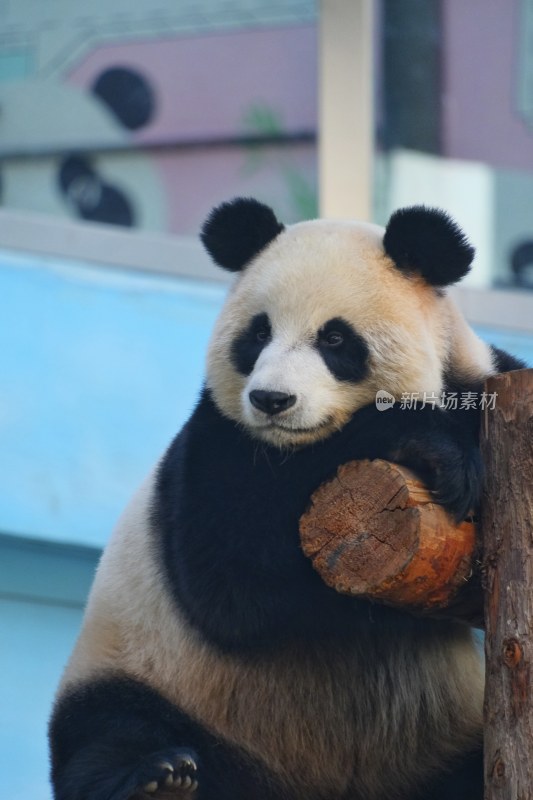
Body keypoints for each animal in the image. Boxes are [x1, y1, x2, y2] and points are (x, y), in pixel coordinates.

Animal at [48, 195, 524, 800]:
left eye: (335, 339)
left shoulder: (485, 376)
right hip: (147, 668)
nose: (271, 400)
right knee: (108, 728)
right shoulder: (217, 445)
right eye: (257, 334)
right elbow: (230, 576)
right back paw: (155, 778)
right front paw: (435, 448)